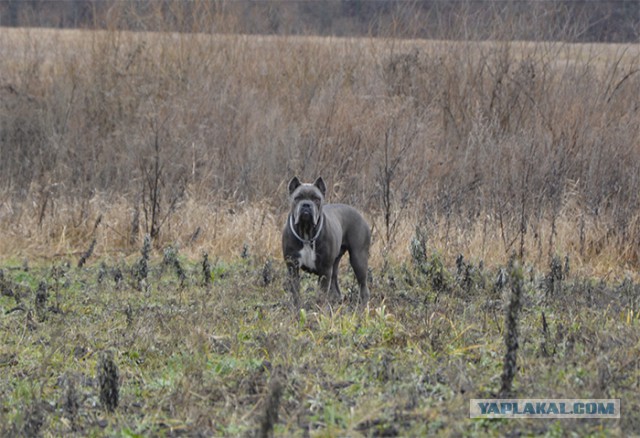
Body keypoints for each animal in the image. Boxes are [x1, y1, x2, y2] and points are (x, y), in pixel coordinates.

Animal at [282, 175, 370, 308]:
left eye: (316, 199)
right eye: (297, 198)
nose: (306, 205)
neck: (306, 232)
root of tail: (360, 215)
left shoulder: (324, 270)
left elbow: (322, 293)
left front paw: (320, 309)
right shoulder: (292, 267)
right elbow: (295, 292)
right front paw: (296, 309)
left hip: (358, 259)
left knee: (363, 286)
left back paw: (363, 307)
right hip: (335, 265)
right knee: (335, 286)